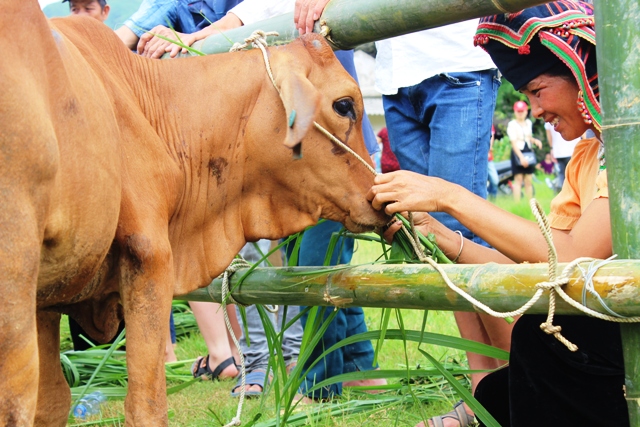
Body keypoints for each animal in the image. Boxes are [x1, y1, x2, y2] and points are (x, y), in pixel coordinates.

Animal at [0, 2, 388, 425]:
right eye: (344, 105)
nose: (377, 195)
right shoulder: (149, 257)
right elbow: (147, 404)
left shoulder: (48, 296)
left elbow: (53, 401)